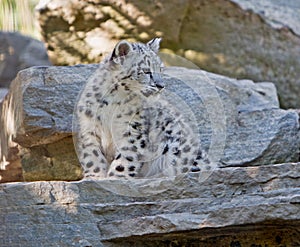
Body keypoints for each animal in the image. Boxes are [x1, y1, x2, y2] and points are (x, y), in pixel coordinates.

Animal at [75, 37, 206, 178]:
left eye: (161, 69)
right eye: (146, 71)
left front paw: (116, 177)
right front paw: (96, 176)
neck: (112, 102)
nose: (161, 85)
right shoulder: (89, 128)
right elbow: (92, 156)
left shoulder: (133, 130)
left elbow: (125, 159)